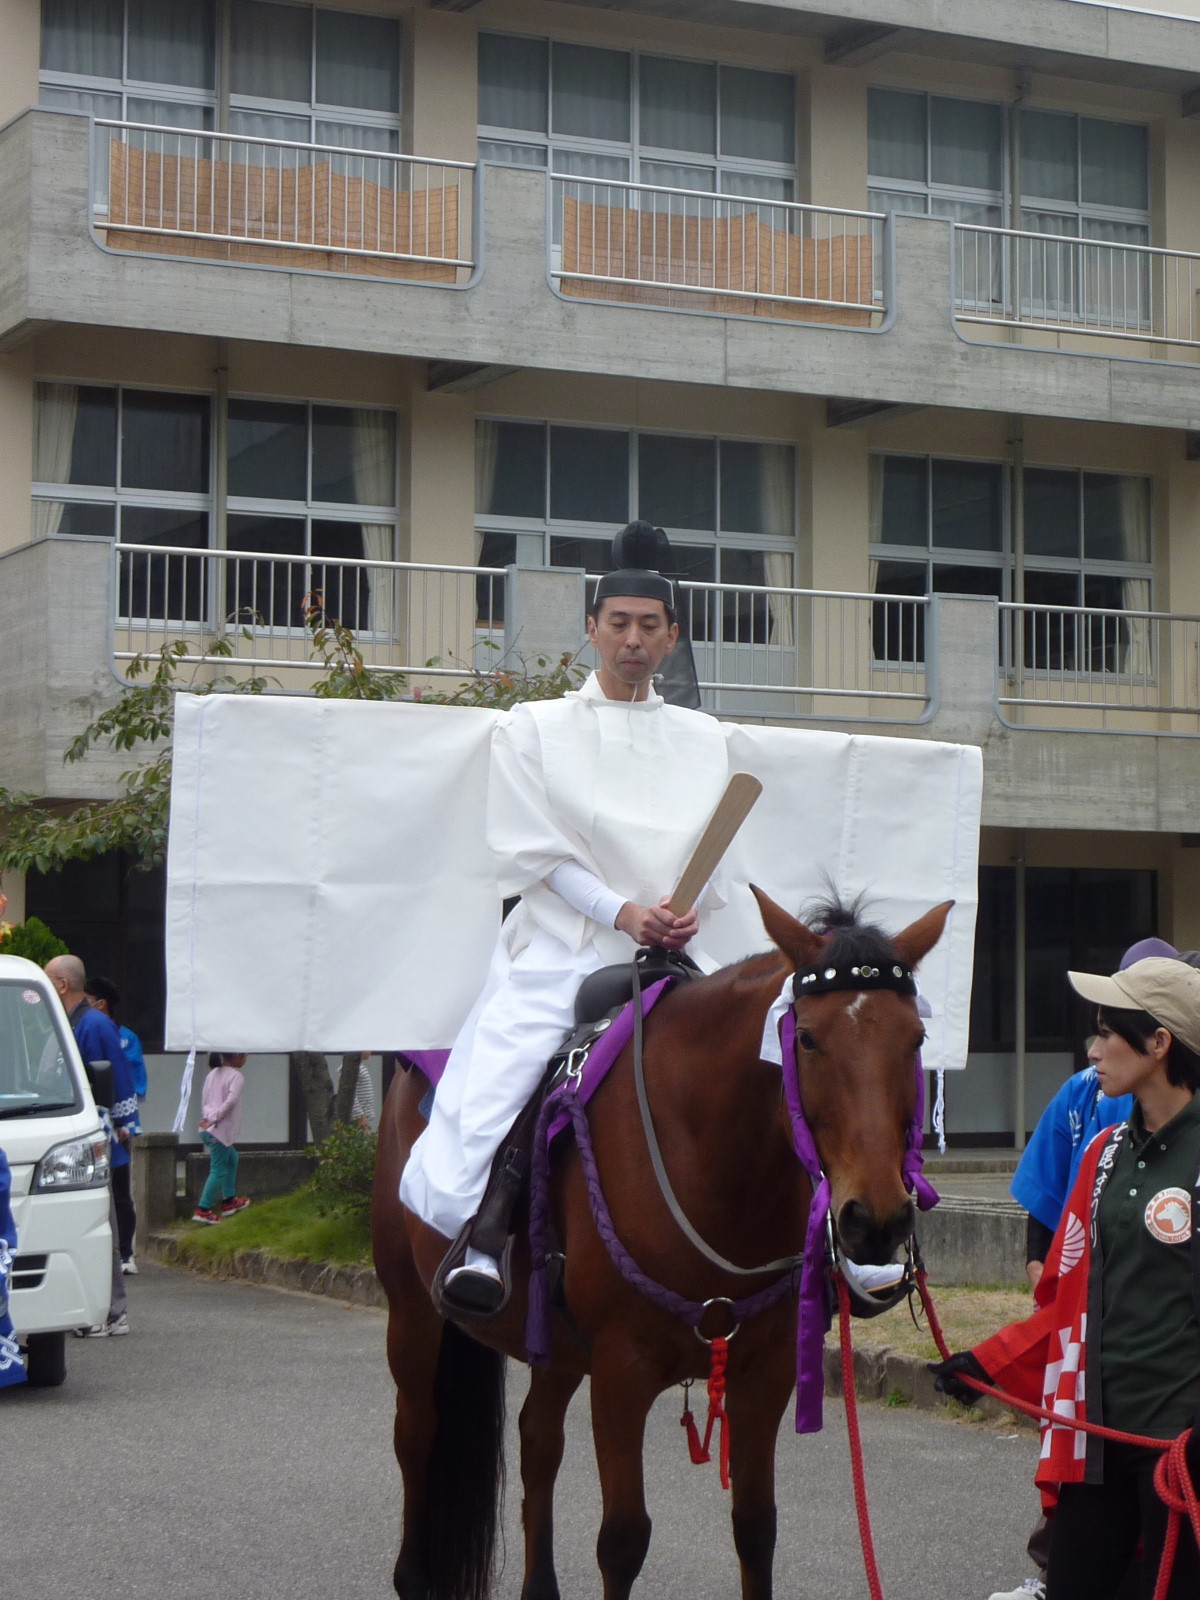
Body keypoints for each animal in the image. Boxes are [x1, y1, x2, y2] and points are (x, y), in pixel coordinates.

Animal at [371, 889, 953, 1600]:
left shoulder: (768, 1369)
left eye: (916, 1038)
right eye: (808, 1039)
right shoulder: (621, 1372)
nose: (875, 1221)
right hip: (413, 1309)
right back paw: (411, 1572)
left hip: (553, 1341)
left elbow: (756, 1526)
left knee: (538, 1441)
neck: (712, 1158)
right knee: (418, 1432)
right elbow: (623, 1540)